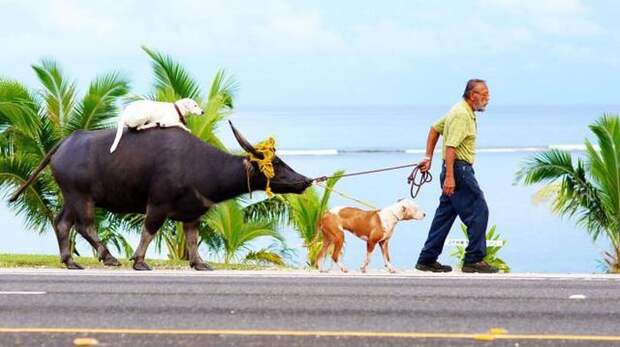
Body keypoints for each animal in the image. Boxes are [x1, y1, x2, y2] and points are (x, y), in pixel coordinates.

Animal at [13, 122, 314, 272]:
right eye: (276, 165)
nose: (305, 181)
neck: (201, 165)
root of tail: (65, 143)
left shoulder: (193, 211)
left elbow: (192, 238)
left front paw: (199, 263)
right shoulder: (157, 204)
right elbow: (149, 230)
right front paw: (139, 261)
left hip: (70, 196)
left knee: (62, 223)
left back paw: (70, 261)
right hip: (81, 196)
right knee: (84, 225)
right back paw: (108, 257)